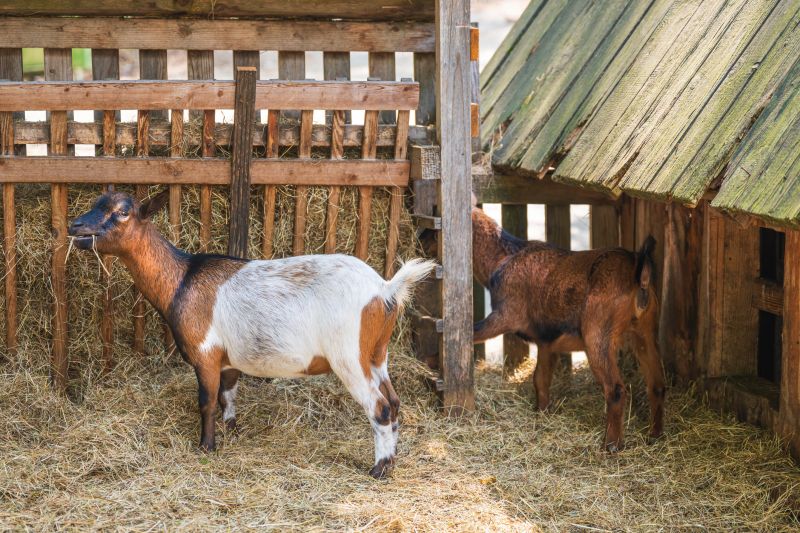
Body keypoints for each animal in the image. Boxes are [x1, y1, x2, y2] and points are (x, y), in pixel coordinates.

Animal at [68, 190, 436, 478]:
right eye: (96, 202)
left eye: (122, 212)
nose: (75, 226)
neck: (182, 279)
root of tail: (385, 289)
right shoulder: (229, 359)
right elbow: (228, 396)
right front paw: (231, 431)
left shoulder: (205, 354)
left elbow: (207, 402)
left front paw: (206, 446)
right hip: (377, 353)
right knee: (394, 401)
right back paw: (391, 460)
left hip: (349, 357)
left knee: (380, 407)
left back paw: (379, 469)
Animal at [471, 205, 665, 451]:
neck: (502, 258)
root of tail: (639, 271)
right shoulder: (547, 341)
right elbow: (540, 379)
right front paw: (542, 412)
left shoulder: (505, 315)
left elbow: (472, 333)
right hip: (645, 331)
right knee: (657, 384)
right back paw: (655, 436)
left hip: (597, 335)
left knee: (616, 390)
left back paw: (610, 446)